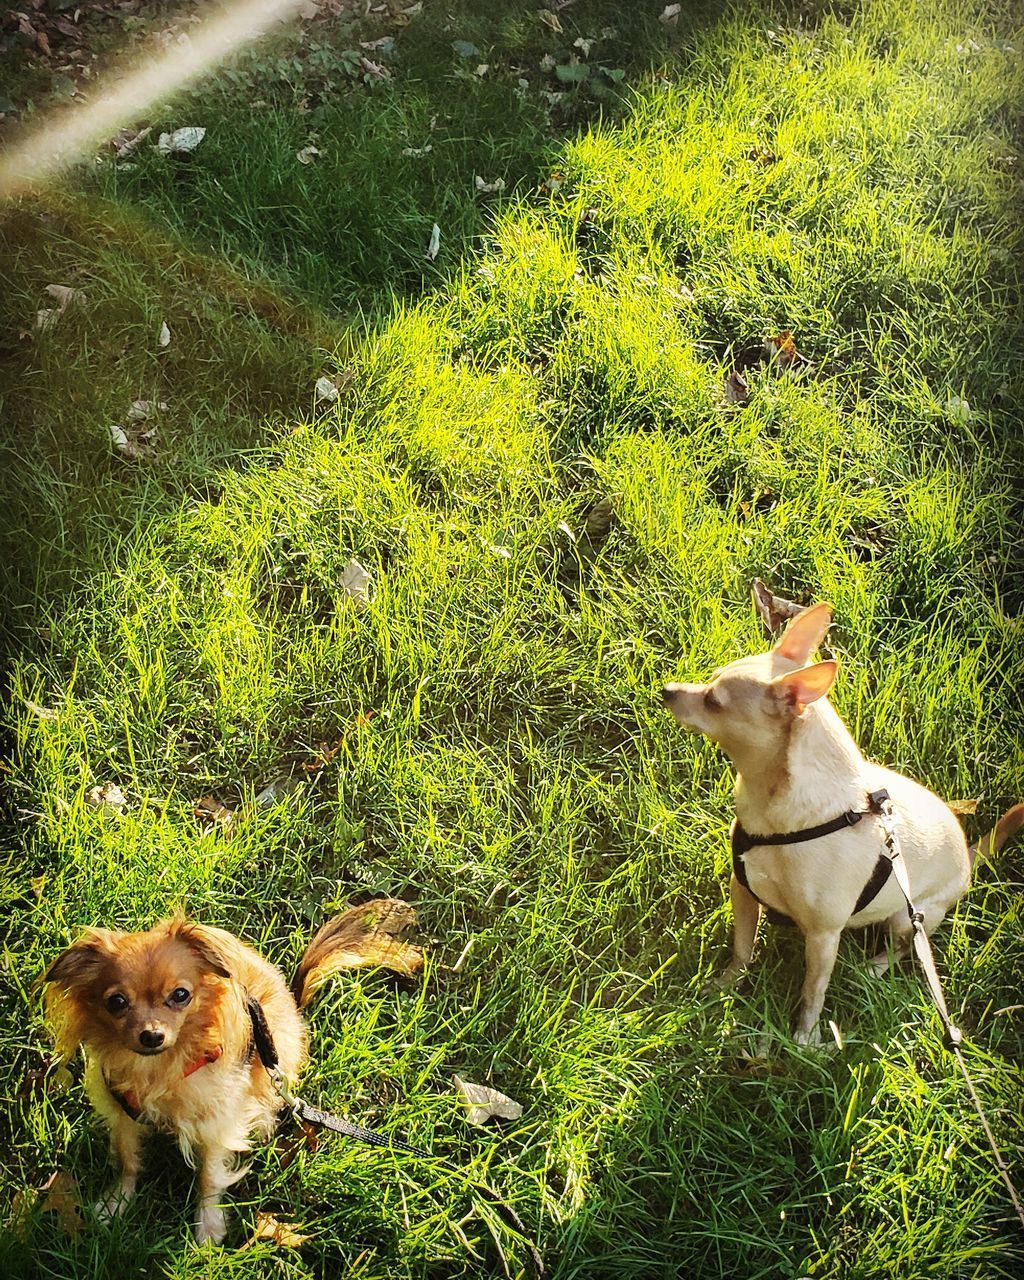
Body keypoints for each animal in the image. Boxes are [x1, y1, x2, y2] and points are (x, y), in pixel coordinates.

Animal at [40, 901, 419, 1239]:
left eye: (181, 995)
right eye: (116, 1002)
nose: (152, 1035)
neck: (161, 1069)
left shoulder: (217, 1125)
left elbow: (209, 1177)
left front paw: (208, 1228)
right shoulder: (124, 1116)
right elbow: (127, 1160)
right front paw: (116, 1202)